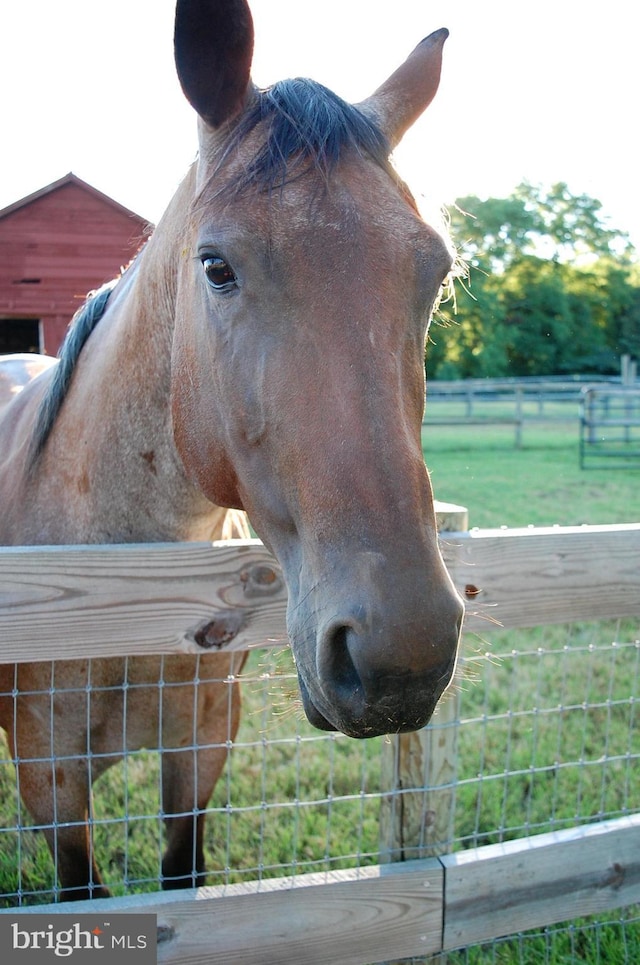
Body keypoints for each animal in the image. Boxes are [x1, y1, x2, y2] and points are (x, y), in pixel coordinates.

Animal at [0, 0, 460, 900]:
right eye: (216, 266)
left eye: (434, 272)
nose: (405, 654)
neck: (114, 590)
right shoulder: (49, 777)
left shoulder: (202, 747)